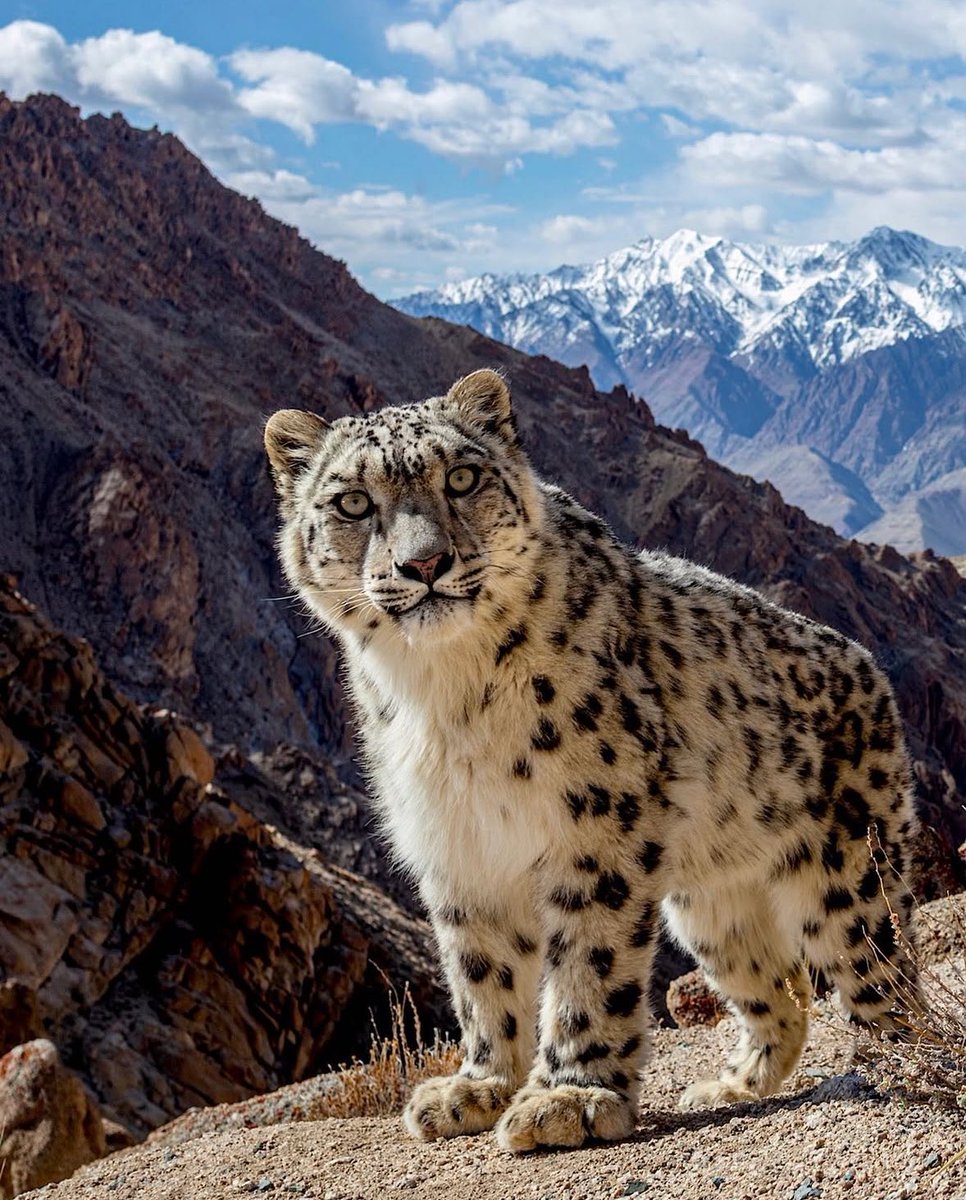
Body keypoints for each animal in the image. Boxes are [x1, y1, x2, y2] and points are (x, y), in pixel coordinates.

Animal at [264, 368, 920, 1154]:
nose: (423, 564)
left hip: (849, 880)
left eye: (461, 477)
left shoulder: (596, 827)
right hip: (713, 908)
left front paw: (568, 1098)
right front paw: (477, 1086)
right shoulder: (456, 845)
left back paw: (900, 1062)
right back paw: (732, 1085)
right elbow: (480, 973)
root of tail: (870, 669)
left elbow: (587, 961)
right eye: (354, 502)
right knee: (781, 987)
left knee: (886, 978)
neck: (443, 695)